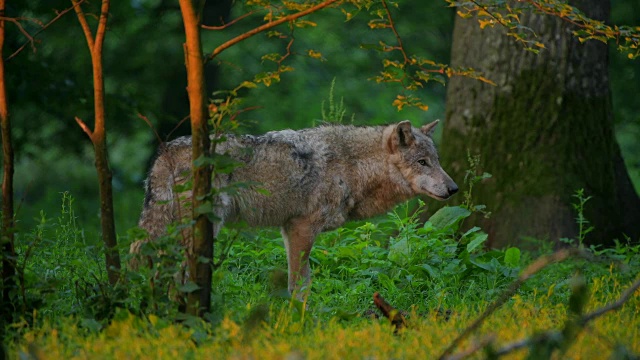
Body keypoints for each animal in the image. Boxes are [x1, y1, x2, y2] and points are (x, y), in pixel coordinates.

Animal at [131, 119, 460, 296]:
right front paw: (298, 323)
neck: (351, 167)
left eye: (437, 161)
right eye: (422, 162)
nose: (454, 188)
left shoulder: (288, 229)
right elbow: (300, 286)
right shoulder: (301, 228)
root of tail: (164, 152)